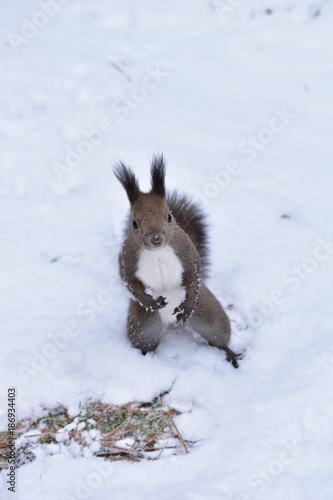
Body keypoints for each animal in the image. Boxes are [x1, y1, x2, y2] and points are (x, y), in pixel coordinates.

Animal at [113, 155, 240, 368]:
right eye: (134, 223)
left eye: (169, 216)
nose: (156, 238)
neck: (157, 252)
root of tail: (171, 323)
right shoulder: (127, 260)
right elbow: (129, 281)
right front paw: (149, 300)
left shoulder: (187, 254)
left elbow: (194, 275)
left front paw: (187, 304)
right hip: (142, 325)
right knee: (144, 342)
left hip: (210, 315)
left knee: (219, 335)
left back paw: (229, 354)